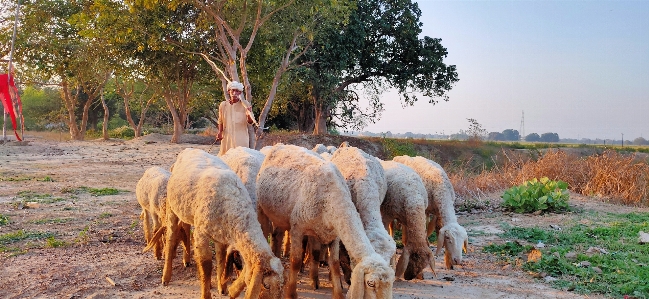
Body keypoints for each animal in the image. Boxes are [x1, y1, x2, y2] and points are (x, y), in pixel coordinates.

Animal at [161, 149, 280, 299]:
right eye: (266, 285)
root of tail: (189, 149)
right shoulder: (201, 233)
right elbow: (206, 265)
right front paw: (206, 294)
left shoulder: (221, 235)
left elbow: (221, 258)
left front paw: (222, 287)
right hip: (172, 208)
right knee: (170, 239)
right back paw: (166, 277)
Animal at [256, 144, 392, 298]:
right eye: (370, 283)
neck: (332, 198)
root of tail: (281, 144)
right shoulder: (297, 229)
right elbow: (295, 262)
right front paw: (291, 293)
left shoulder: (333, 235)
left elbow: (334, 263)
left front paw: (337, 293)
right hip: (265, 210)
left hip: (284, 218)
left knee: (278, 235)